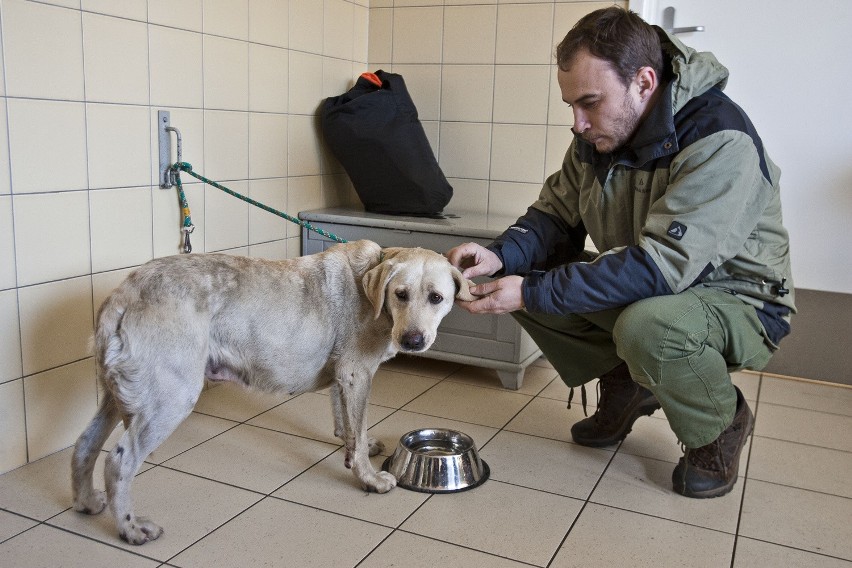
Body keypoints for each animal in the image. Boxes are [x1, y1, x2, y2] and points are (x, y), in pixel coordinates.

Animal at [70, 237, 476, 544]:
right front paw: (369, 478)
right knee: (119, 460)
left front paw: (351, 445)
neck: (372, 291)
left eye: (436, 298)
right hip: (169, 398)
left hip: (119, 396)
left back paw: (86, 500)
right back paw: (131, 528)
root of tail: (123, 295)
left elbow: (346, 423)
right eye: (400, 294)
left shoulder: (342, 375)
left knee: (85, 445)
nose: (412, 340)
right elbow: (357, 434)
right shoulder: (356, 372)